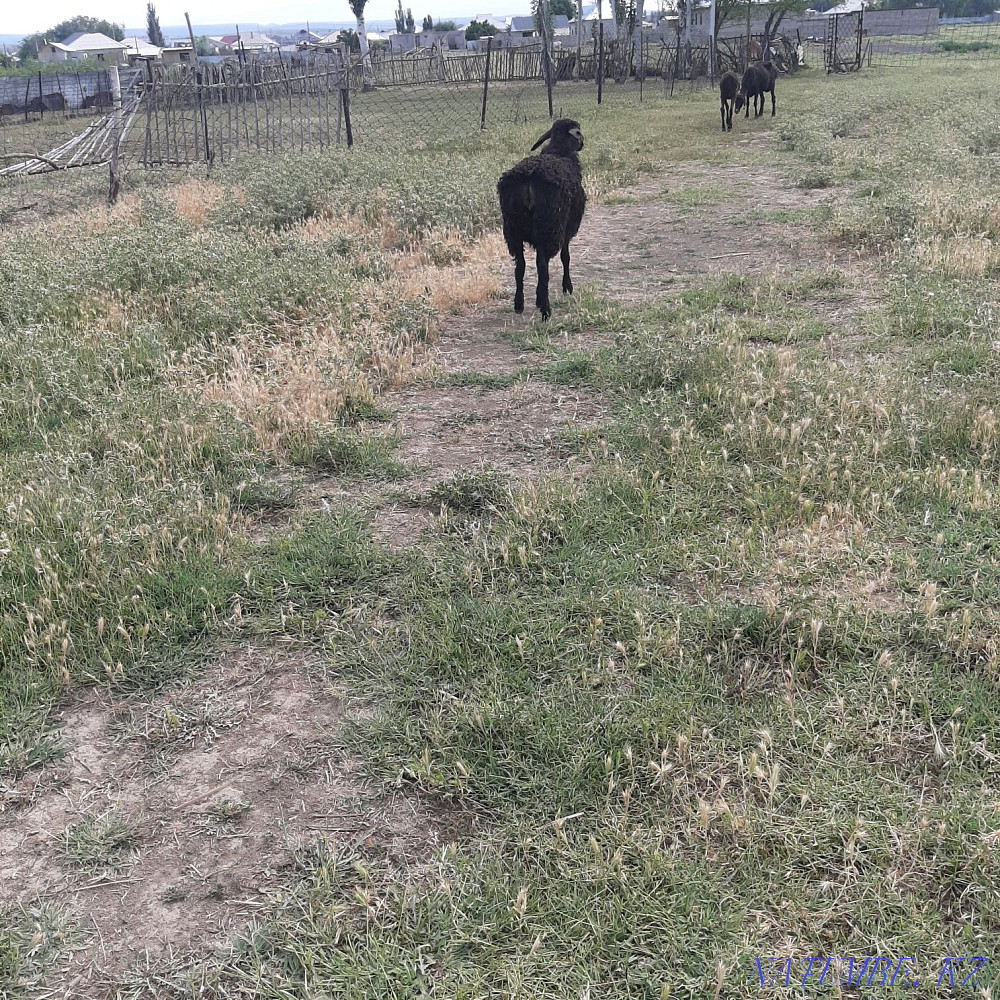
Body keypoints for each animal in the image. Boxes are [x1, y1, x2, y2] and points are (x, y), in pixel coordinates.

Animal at [496, 118, 586, 321]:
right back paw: (545, 310)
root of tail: (528, 177)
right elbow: (565, 257)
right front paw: (567, 287)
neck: (558, 152)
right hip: (549, 225)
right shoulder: (567, 228)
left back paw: (519, 304)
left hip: (513, 228)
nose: (582, 144)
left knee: (520, 266)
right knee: (542, 266)